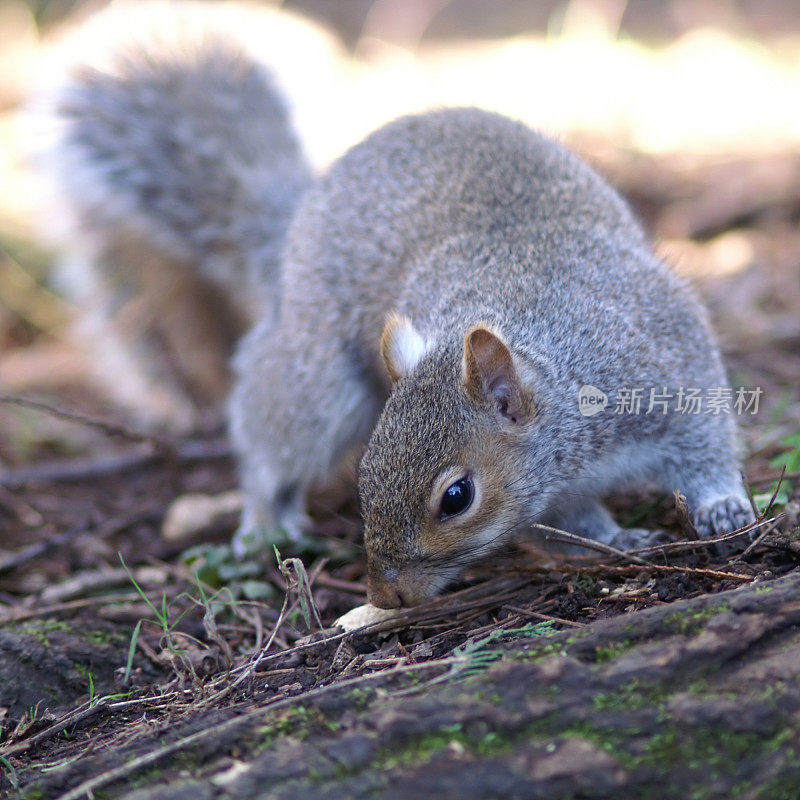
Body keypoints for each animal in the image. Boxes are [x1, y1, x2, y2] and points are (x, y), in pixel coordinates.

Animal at [43, 18, 756, 608]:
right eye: (364, 473)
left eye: (457, 498)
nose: (385, 595)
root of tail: (300, 217)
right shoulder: (563, 483)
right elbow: (574, 520)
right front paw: (609, 540)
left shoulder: (668, 365)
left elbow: (707, 441)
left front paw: (722, 507)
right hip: (318, 383)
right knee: (271, 442)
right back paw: (265, 521)